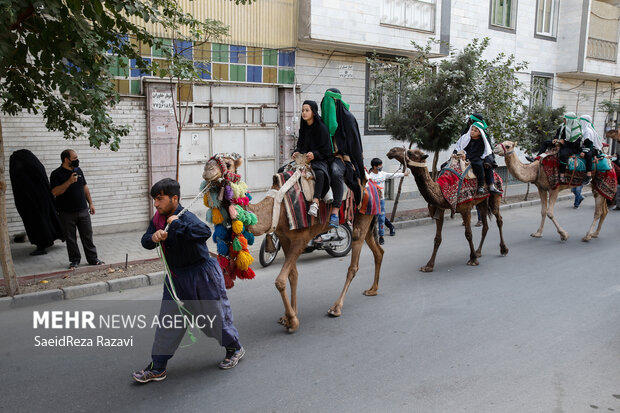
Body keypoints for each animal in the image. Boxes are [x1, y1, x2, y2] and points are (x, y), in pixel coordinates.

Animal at [201, 154, 382, 332]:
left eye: (228, 164)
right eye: (209, 161)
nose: (207, 170)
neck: (276, 208)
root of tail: (374, 185)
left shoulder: (300, 239)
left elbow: (280, 280)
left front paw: (293, 321)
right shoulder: (284, 237)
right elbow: (292, 276)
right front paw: (289, 316)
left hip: (363, 215)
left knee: (354, 263)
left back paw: (336, 308)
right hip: (367, 219)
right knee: (378, 251)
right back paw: (372, 290)